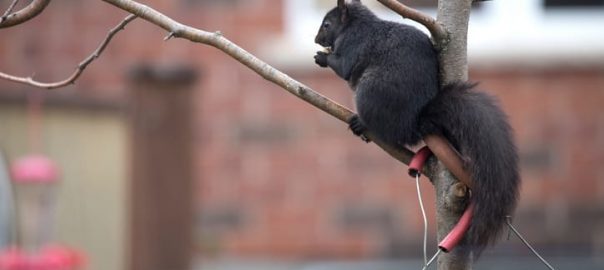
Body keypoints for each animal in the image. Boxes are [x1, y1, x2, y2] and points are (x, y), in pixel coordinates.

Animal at [316, 0, 520, 255]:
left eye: (327, 24)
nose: (316, 40)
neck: (356, 24)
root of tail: (414, 123)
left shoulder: (353, 43)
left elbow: (342, 66)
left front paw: (323, 58)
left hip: (370, 91)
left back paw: (362, 123)